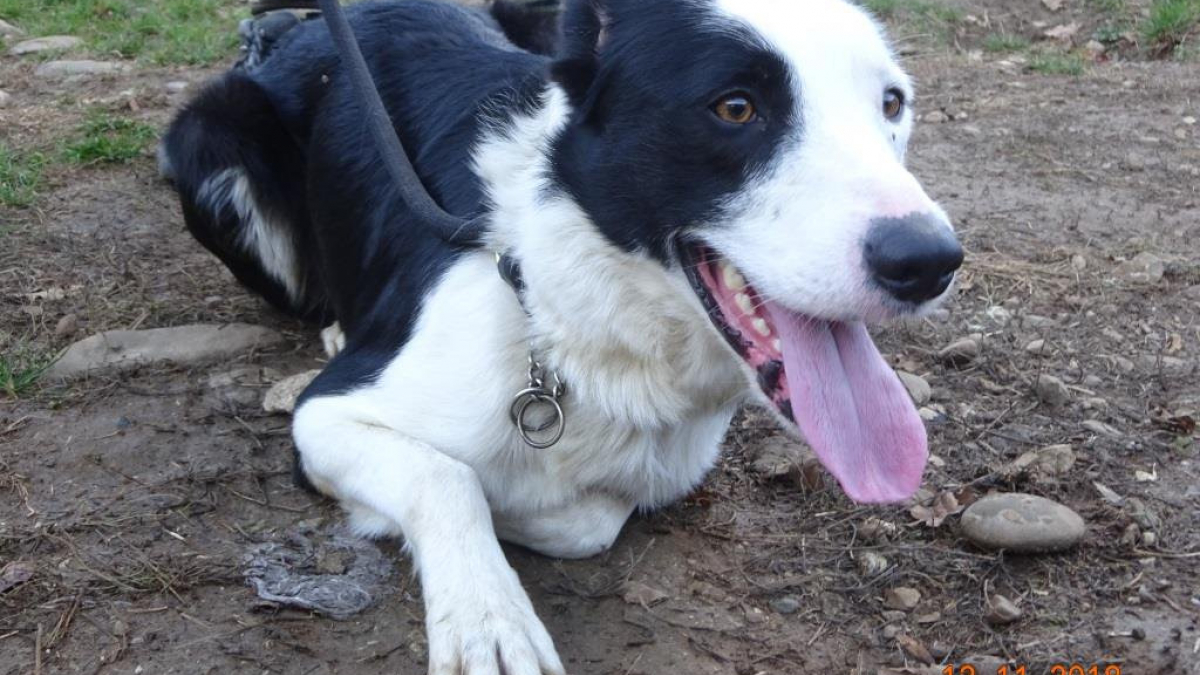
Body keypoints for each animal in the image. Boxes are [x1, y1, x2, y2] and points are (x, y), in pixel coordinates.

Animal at [162, 1, 964, 667]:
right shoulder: (326, 415)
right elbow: (449, 476)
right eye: (735, 107)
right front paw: (488, 616)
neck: (559, 304)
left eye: (891, 103)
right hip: (209, 138)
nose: (927, 261)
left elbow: (588, 519)